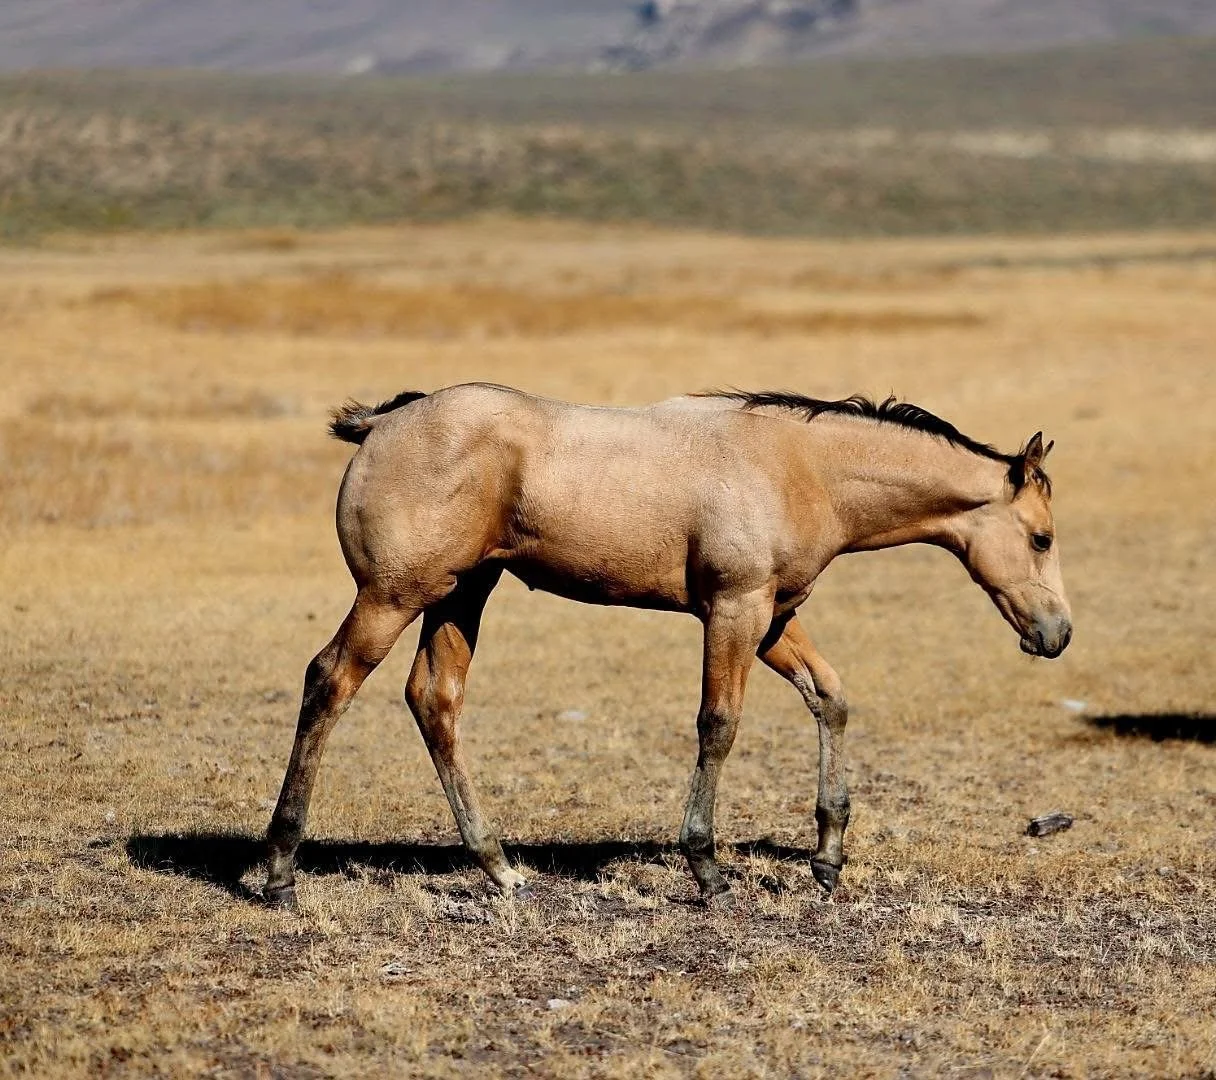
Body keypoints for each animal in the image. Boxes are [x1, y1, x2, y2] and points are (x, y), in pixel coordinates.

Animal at [263, 383, 1071, 911]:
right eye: (1041, 538)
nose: (1057, 635)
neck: (799, 467)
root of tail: (386, 422)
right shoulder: (734, 611)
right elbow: (719, 725)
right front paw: (706, 868)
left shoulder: (774, 618)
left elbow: (831, 698)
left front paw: (828, 855)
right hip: (393, 598)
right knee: (327, 682)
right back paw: (279, 869)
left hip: (461, 596)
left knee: (435, 700)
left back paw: (500, 869)